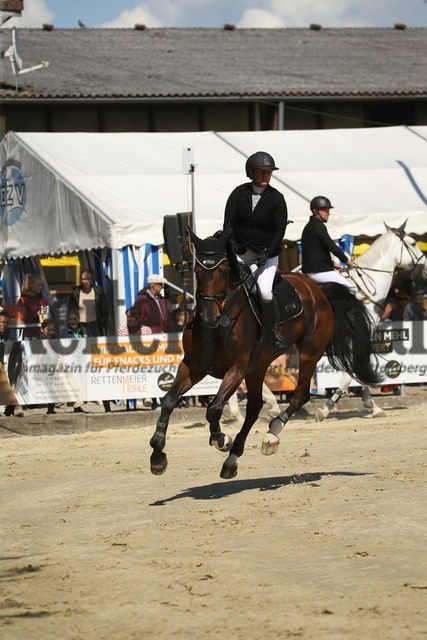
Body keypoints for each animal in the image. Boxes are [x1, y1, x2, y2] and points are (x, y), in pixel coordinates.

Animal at [150, 228, 382, 478]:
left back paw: (271, 436)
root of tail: (317, 288)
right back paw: (232, 459)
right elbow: (168, 401)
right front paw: (157, 455)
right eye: (197, 270)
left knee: (299, 396)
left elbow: (214, 408)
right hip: (258, 367)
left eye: (223, 270)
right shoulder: (194, 367)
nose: (210, 317)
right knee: (254, 408)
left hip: (308, 354)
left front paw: (221, 439)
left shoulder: (237, 369)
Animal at [316, 222, 426, 422]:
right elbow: (350, 375)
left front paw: (371, 405)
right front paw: (325, 409)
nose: (426, 266)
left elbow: (359, 372)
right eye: (413, 243)